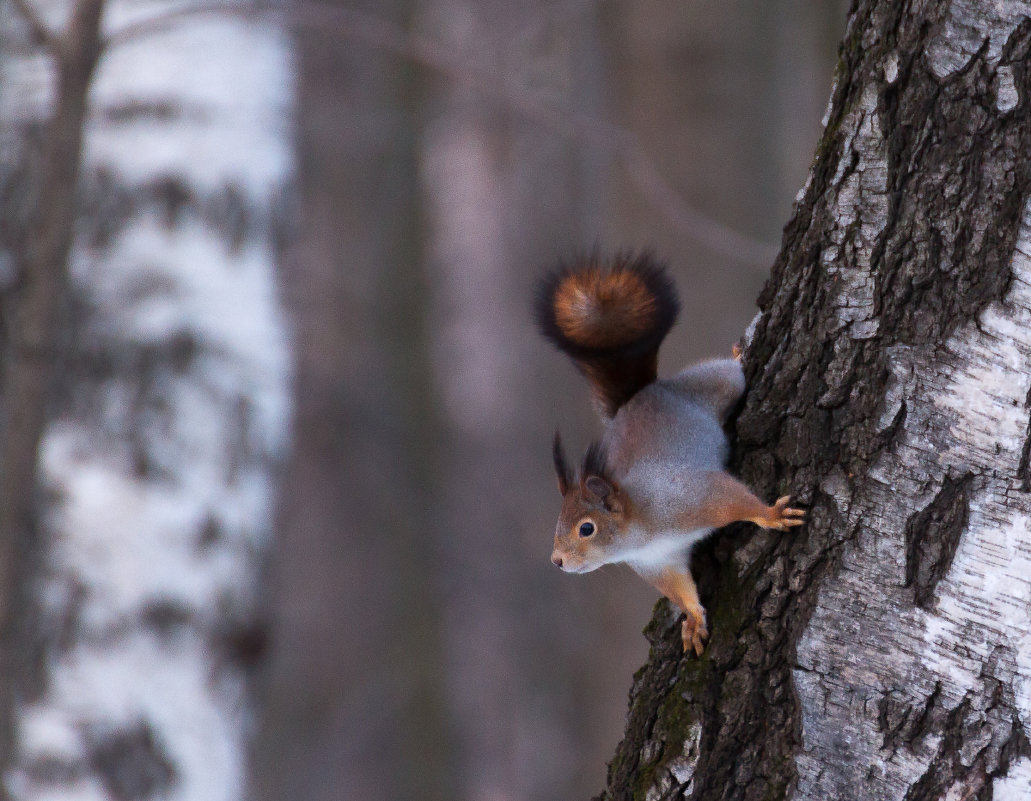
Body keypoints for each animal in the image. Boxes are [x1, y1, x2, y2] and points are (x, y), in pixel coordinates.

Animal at [531, 253, 804, 651]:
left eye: (586, 528)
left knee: (729, 374)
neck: (641, 532)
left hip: (714, 385)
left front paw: (770, 514)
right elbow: (680, 589)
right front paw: (693, 620)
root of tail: (641, 394)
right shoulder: (659, 563)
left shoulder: (690, 496)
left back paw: (737, 354)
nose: (557, 561)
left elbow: (735, 499)